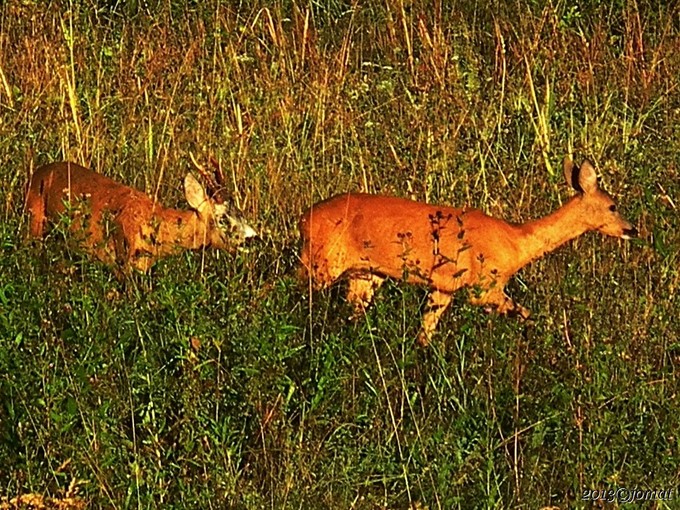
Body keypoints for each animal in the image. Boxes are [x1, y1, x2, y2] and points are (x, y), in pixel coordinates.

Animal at [25, 160, 256, 272]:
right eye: (222, 218)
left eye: (241, 213)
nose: (253, 238)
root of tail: (36, 173)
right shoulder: (122, 263)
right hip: (33, 222)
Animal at [298, 157, 636, 344]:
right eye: (612, 205)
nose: (632, 229)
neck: (517, 242)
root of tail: (304, 218)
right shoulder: (483, 287)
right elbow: (527, 314)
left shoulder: (444, 287)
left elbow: (425, 333)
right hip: (321, 261)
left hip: (365, 274)